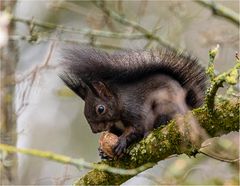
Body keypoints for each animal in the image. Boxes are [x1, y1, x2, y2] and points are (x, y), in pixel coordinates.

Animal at [59, 46, 207, 158]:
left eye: (100, 109)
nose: (95, 130)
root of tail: (189, 108)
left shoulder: (135, 108)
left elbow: (137, 127)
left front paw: (122, 142)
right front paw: (102, 151)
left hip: (165, 107)